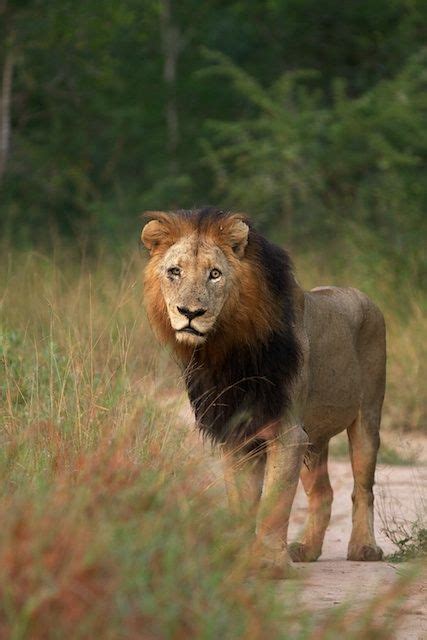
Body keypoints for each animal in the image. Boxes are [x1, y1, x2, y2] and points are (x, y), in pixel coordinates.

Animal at [141, 209, 388, 576]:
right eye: (175, 272)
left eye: (215, 274)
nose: (190, 313)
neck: (226, 352)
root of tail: (362, 295)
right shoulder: (236, 434)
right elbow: (242, 503)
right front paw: (239, 558)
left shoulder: (287, 433)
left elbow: (274, 504)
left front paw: (270, 562)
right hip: (314, 437)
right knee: (323, 493)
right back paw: (307, 549)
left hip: (367, 417)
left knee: (363, 487)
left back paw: (364, 547)